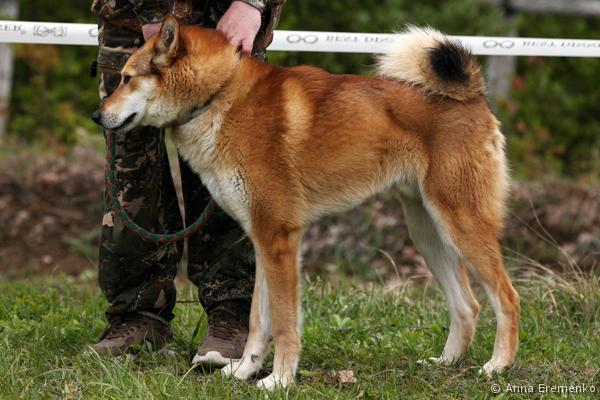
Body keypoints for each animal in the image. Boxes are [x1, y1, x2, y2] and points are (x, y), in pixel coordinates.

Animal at [93, 15, 520, 389]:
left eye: (127, 78)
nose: (97, 115)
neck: (219, 94)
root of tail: (473, 96)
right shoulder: (262, 241)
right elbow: (257, 322)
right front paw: (244, 372)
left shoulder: (279, 238)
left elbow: (283, 323)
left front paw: (279, 380)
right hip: (428, 233)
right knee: (467, 306)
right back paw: (446, 362)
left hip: (461, 225)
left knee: (507, 298)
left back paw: (497, 365)